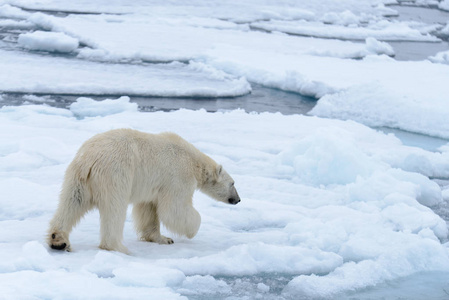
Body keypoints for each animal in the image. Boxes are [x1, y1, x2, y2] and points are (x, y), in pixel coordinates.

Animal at [47, 129, 240, 253]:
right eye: (233, 183)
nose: (238, 199)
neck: (194, 162)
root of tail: (90, 159)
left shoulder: (153, 186)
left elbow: (149, 209)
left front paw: (164, 239)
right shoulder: (178, 177)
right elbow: (174, 209)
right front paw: (192, 230)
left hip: (78, 177)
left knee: (72, 202)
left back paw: (58, 240)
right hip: (116, 174)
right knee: (114, 209)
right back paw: (119, 247)